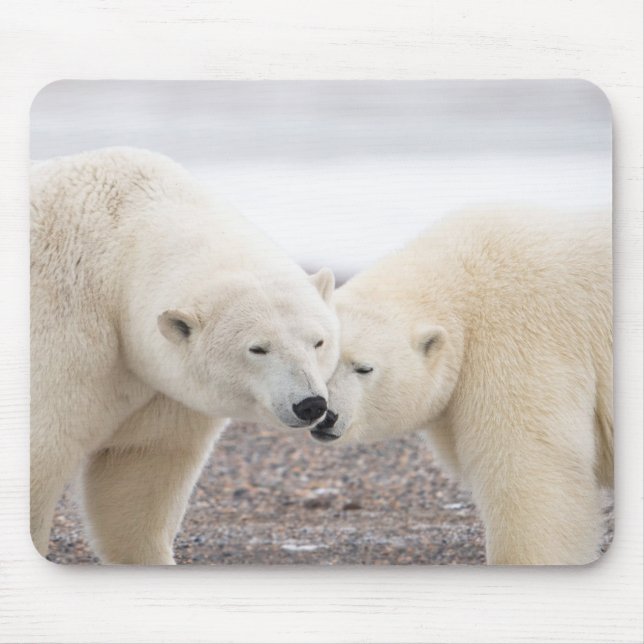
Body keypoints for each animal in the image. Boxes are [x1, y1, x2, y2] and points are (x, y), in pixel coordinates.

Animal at [30, 147, 340, 564]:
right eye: (258, 348)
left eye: (318, 342)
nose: (309, 404)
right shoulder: (65, 338)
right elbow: (44, 453)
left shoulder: (161, 385)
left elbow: (139, 474)